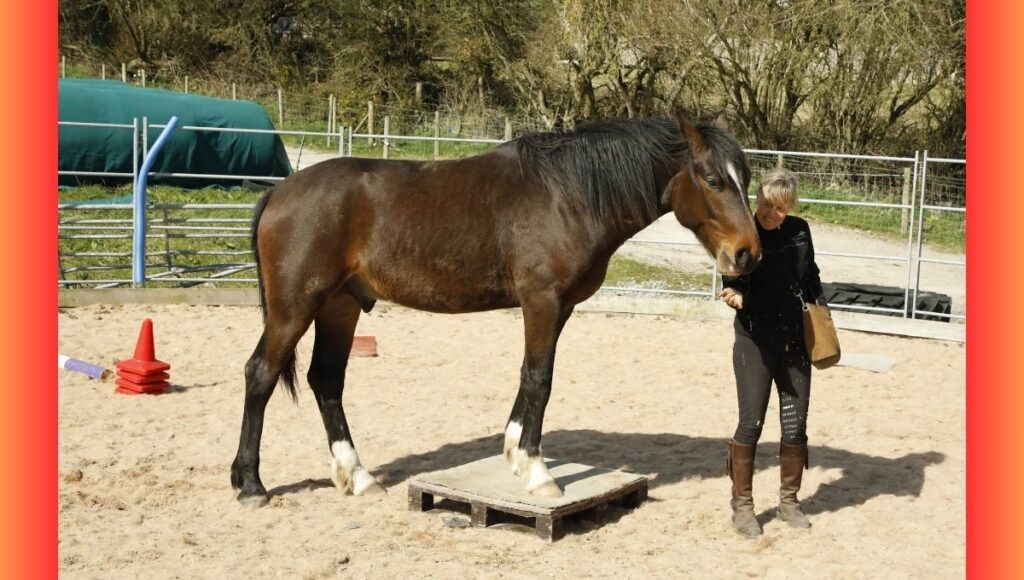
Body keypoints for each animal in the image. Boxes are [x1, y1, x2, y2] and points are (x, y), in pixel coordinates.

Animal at [230, 112, 761, 507]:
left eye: (747, 178)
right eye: (713, 180)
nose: (747, 253)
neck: (567, 196)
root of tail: (279, 191)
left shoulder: (559, 307)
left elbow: (530, 376)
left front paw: (514, 453)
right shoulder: (541, 301)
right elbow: (540, 380)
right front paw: (539, 473)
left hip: (339, 306)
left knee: (326, 381)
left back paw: (358, 477)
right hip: (294, 308)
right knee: (260, 374)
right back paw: (251, 484)